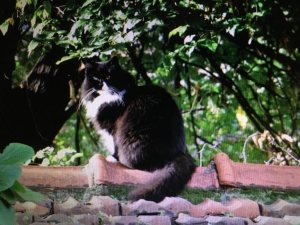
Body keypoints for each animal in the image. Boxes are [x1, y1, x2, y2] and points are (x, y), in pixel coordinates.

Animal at [81, 56, 196, 202]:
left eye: (108, 76)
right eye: (96, 78)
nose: (101, 83)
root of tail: (176, 154)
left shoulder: (113, 128)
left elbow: (115, 145)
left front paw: (112, 158)